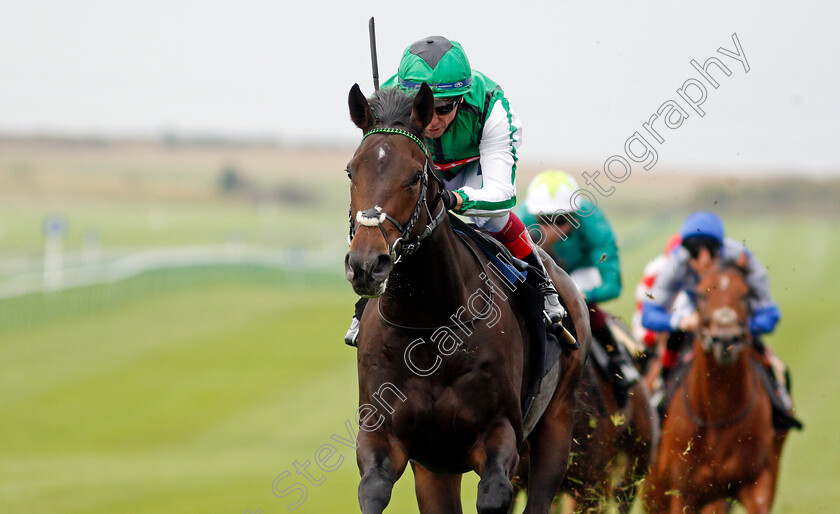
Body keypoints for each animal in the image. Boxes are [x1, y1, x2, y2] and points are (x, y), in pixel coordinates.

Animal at [342, 82, 592, 510]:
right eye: (351, 170)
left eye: (415, 176)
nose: (366, 264)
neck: (429, 329)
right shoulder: (386, 438)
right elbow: (372, 489)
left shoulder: (499, 433)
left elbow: (494, 494)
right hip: (437, 469)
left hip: (557, 420)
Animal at [648, 266, 792, 510]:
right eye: (702, 295)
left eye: (745, 294)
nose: (725, 340)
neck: (719, 411)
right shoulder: (681, 492)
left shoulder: (757, 481)